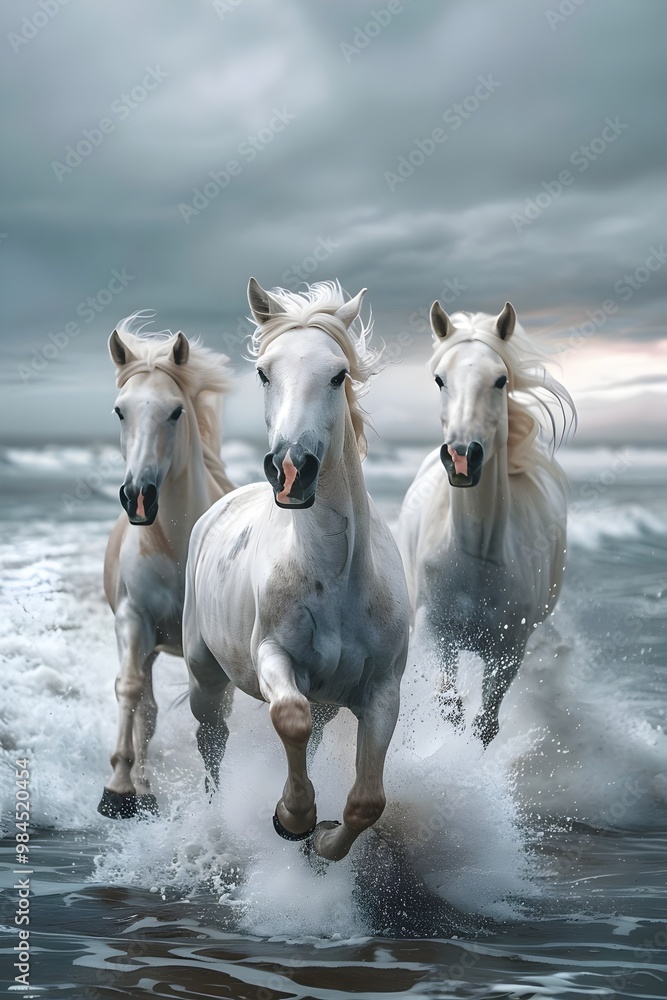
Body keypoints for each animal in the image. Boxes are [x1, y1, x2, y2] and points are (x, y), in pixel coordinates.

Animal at [99, 314, 234, 819]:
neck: (177, 548)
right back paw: (141, 786)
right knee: (147, 709)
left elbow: (215, 723)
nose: (139, 496)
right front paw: (117, 790)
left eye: (175, 411)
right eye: (121, 411)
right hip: (150, 646)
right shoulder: (132, 621)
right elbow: (130, 691)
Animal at [183, 278, 410, 862]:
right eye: (265, 371)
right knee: (211, 740)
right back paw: (215, 817)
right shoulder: (274, 657)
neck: (336, 578)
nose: (290, 470)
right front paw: (292, 818)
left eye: (338, 374)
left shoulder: (382, 689)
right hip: (204, 674)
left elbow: (368, 801)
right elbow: (290, 718)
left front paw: (324, 839)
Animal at [398, 301, 575, 746]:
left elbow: (485, 724)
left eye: (500, 379)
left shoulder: (508, 652)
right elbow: (449, 706)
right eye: (440, 379)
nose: (462, 457)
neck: (475, 556)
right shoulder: (437, 636)